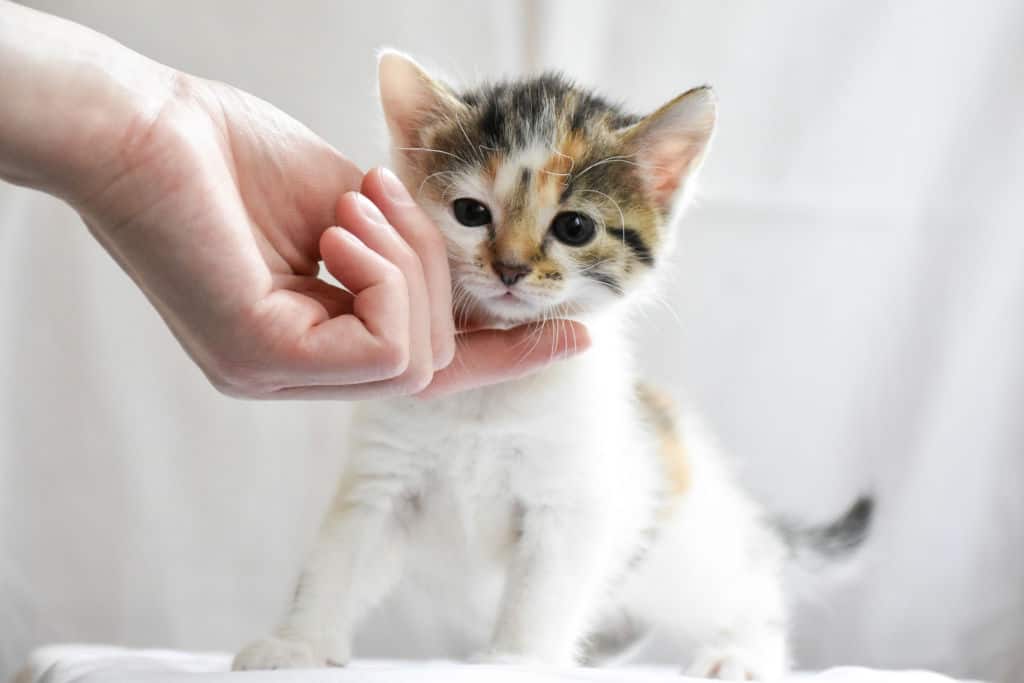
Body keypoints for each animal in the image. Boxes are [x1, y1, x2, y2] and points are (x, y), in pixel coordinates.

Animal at [234, 52, 872, 679]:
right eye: (470, 212)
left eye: (575, 227)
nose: (511, 268)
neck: (490, 394)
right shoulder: (382, 479)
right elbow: (338, 560)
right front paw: (296, 645)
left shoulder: (571, 497)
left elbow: (544, 590)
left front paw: (516, 660)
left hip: (687, 550)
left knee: (750, 588)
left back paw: (743, 653)